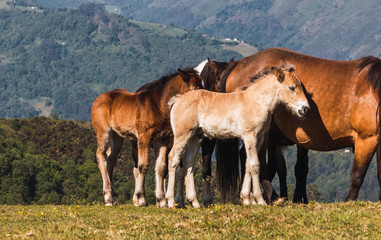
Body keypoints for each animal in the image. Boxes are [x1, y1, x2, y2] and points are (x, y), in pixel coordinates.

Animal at [90, 67, 202, 206]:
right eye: (194, 87)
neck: (158, 105)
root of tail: (97, 99)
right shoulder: (144, 136)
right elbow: (143, 165)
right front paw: (142, 199)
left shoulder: (162, 139)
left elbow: (161, 167)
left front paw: (161, 200)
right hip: (103, 132)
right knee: (101, 155)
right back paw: (107, 196)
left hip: (117, 136)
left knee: (111, 159)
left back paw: (110, 197)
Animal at [166, 65, 308, 208]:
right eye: (292, 87)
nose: (306, 109)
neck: (256, 102)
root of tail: (177, 100)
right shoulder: (250, 136)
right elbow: (255, 165)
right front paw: (259, 200)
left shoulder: (258, 138)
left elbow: (247, 165)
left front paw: (246, 199)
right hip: (182, 135)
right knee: (173, 158)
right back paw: (171, 202)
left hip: (195, 136)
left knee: (189, 162)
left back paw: (195, 203)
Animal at [212, 47, 381, 204]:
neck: (373, 90)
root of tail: (238, 64)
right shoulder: (367, 138)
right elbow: (358, 174)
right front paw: (349, 200)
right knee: (257, 161)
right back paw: (271, 196)